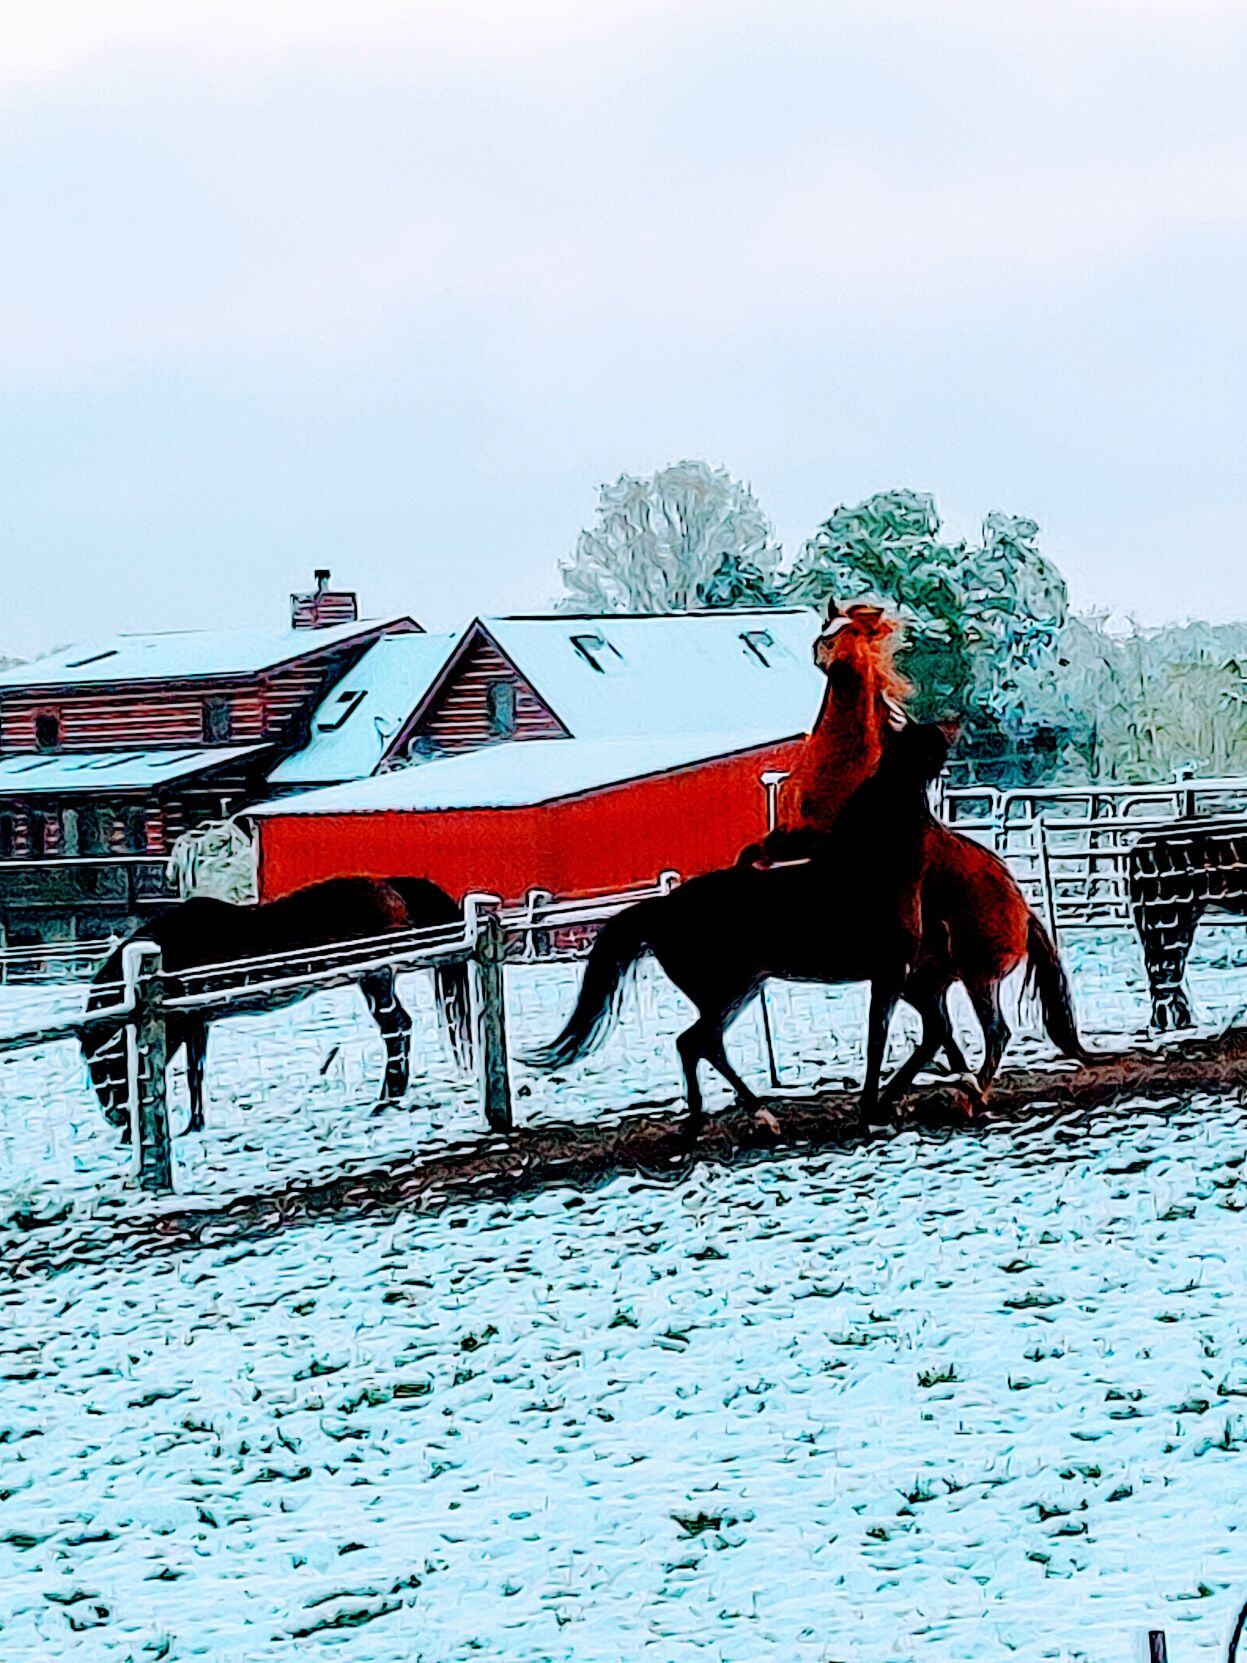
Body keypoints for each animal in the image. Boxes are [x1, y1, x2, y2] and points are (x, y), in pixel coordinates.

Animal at [81, 877, 473, 1138]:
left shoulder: (182, 1021)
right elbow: (196, 1073)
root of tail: (390, 886)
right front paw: (195, 1125)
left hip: (376, 977)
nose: (117, 1119)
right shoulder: (197, 1022)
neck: (172, 949)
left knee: (397, 1029)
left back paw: (387, 1099)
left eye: (107, 1064)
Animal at [528, 721, 969, 1128]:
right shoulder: (890, 975)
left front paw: (939, 1087)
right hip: (729, 991)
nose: (953, 723)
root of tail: (663, 908)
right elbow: (882, 1040)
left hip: (739, 991)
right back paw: (745, 1114)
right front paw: (874, 1107)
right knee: (694, 1043)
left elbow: (935, 1030)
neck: (873, 869)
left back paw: (728, 1113)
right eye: (928, 740)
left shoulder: (903, 978)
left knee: (702, 1045)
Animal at [741, 599, 1092, 1090]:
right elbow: (751, 856)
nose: (823, 651)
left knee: (986, 1030)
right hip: (930, 977)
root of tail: (1024, 913)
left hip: (971, 972)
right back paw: (950, 1073)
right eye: (827, 626)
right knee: (941, 1027)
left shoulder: (826, 852)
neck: (845, 776)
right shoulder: (789, 839)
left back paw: (967, 1083)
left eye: (852, 631)